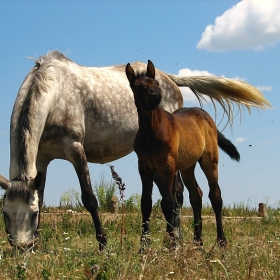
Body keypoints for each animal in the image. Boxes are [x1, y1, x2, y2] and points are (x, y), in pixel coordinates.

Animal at [0, 50, 272, 252]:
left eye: (32, 214)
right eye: (5, 215)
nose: (22, 249)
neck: (55, 94)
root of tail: (170, 78)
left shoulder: (76, 152)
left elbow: (89, 199)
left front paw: (103, 244)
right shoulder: (42, 159)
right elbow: (42, 195)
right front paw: (38, 242)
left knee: (178, 194)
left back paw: (175, 239)